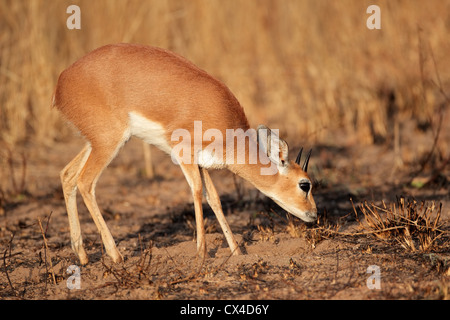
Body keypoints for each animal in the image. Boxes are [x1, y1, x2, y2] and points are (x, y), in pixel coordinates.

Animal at [53, 43, 316, 264]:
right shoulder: (185, 155)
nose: (313, 214)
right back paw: (116, 256)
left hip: (97, 143)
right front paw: (201, 252)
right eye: (305, 184)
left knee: (67, 175)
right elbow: (197, 191)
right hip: (109, 143)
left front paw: (236, 251)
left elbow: (215, 199)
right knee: (85, 182)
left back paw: (82, 256)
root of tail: (62, 81)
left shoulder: (201, 162)